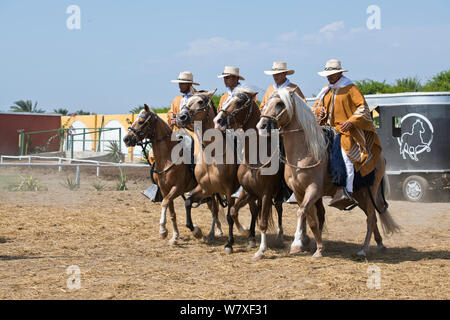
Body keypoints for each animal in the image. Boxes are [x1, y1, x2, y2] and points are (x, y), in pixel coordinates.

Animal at [124, 105, 222, 245]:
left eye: (141, 122)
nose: (126, 139)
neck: (168, 159)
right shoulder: (165, 189)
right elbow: (172, 212)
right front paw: (174, 236)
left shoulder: (177, 188)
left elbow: (164, 203)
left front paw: (163, 230)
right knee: (212, 207)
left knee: (214, 209)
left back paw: (213, 232)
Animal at [177, 89, 248, 252]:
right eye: (186, 101)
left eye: (200, 102)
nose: (181, 117)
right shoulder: (206, 189)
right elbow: (188, 203)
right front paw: (197, 232)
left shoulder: (229, 191)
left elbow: (229, 216)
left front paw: (229, 244)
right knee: (217, 210)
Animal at [256, 87, 400, 258]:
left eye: (279, 103)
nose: (262, 125)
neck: (305, 153)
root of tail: (380, 156)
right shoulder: (299, 192)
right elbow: (311, 219)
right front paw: (318, 248)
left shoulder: (314, 190)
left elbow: (301, 212)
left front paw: (297, 243)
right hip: (361, 194)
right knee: (372, 217)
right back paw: (379, 244)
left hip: (371, 190)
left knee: (371, 218)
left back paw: (364, 249)